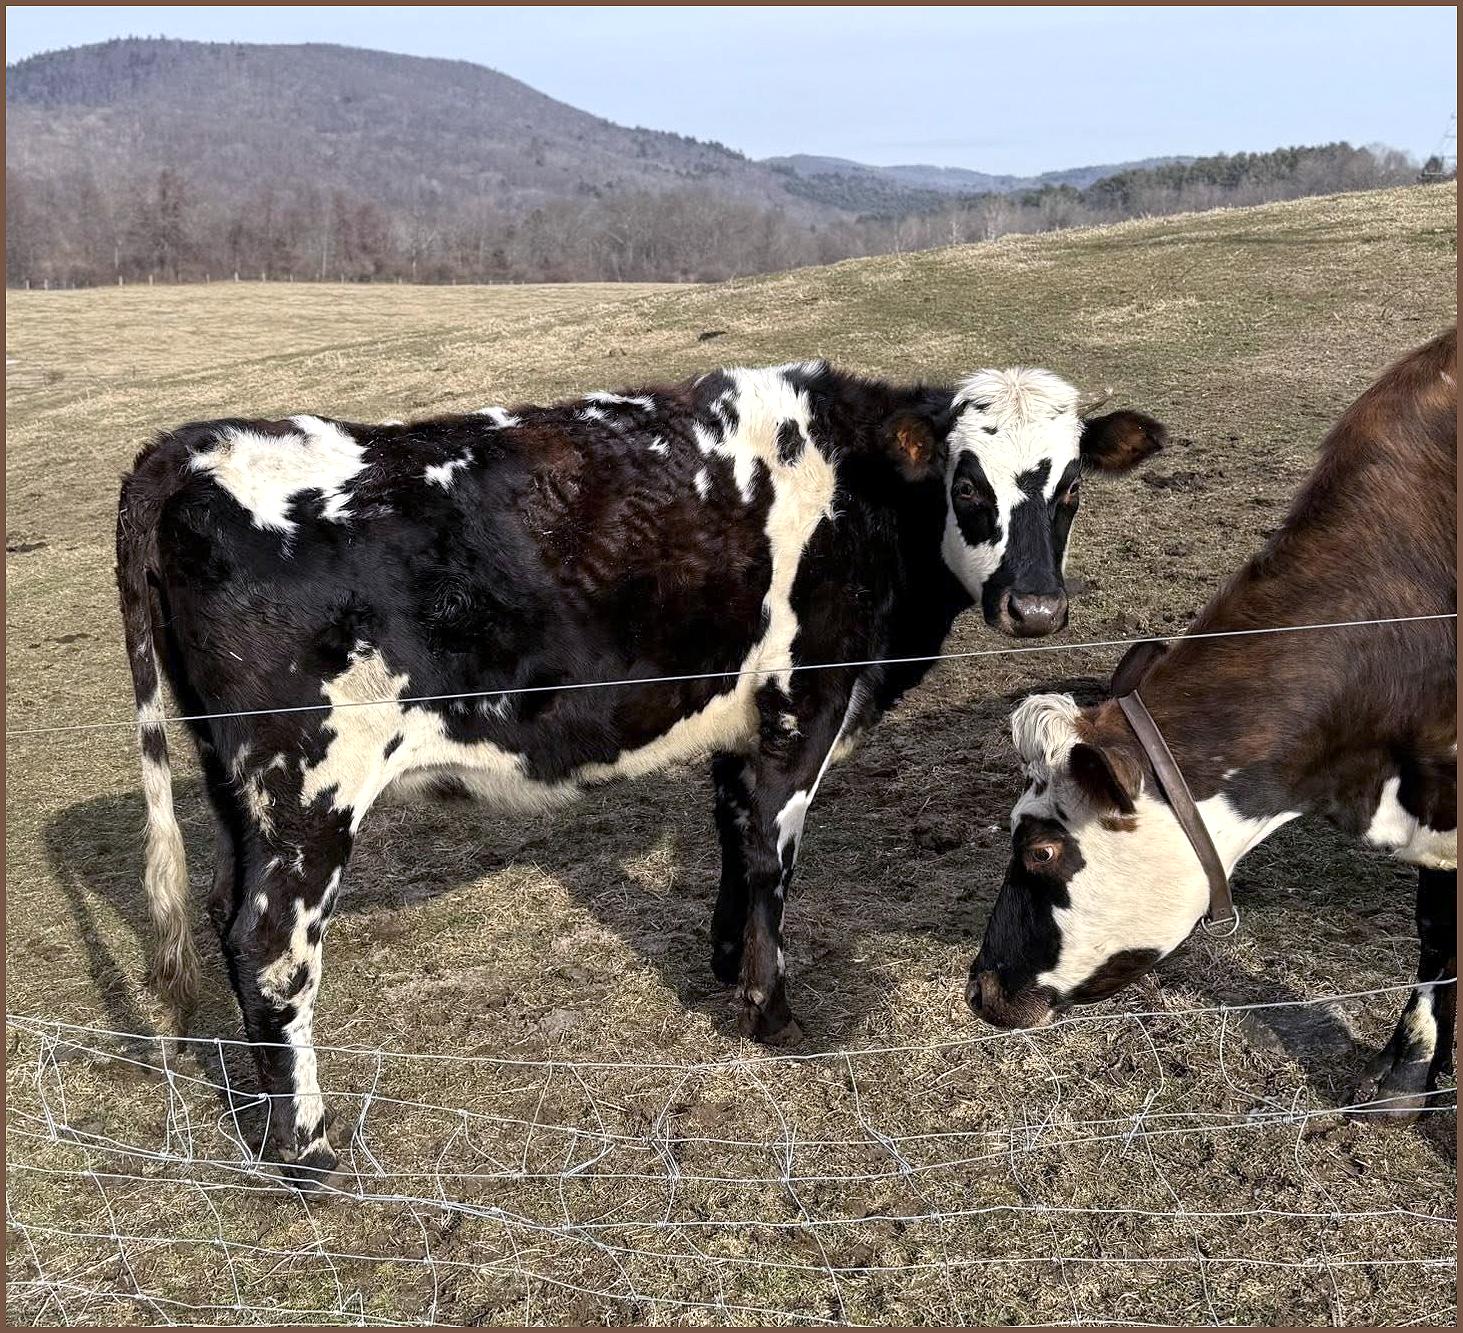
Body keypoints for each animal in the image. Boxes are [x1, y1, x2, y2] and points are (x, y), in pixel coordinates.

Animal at [117, 358, 1164, 1184]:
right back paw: (307, 1147)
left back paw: (265, 1121)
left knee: (225, 912)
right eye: (968, 483)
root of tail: (196, 446)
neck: (857, 495)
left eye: (1069, 487)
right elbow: (773, 854)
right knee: (272, 945)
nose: (1035, 608)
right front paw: (772, 1012)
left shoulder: (741, 716)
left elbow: (734, 831)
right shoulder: (806, 702)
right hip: (308, 784)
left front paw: (724, 961)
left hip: (236, 783)